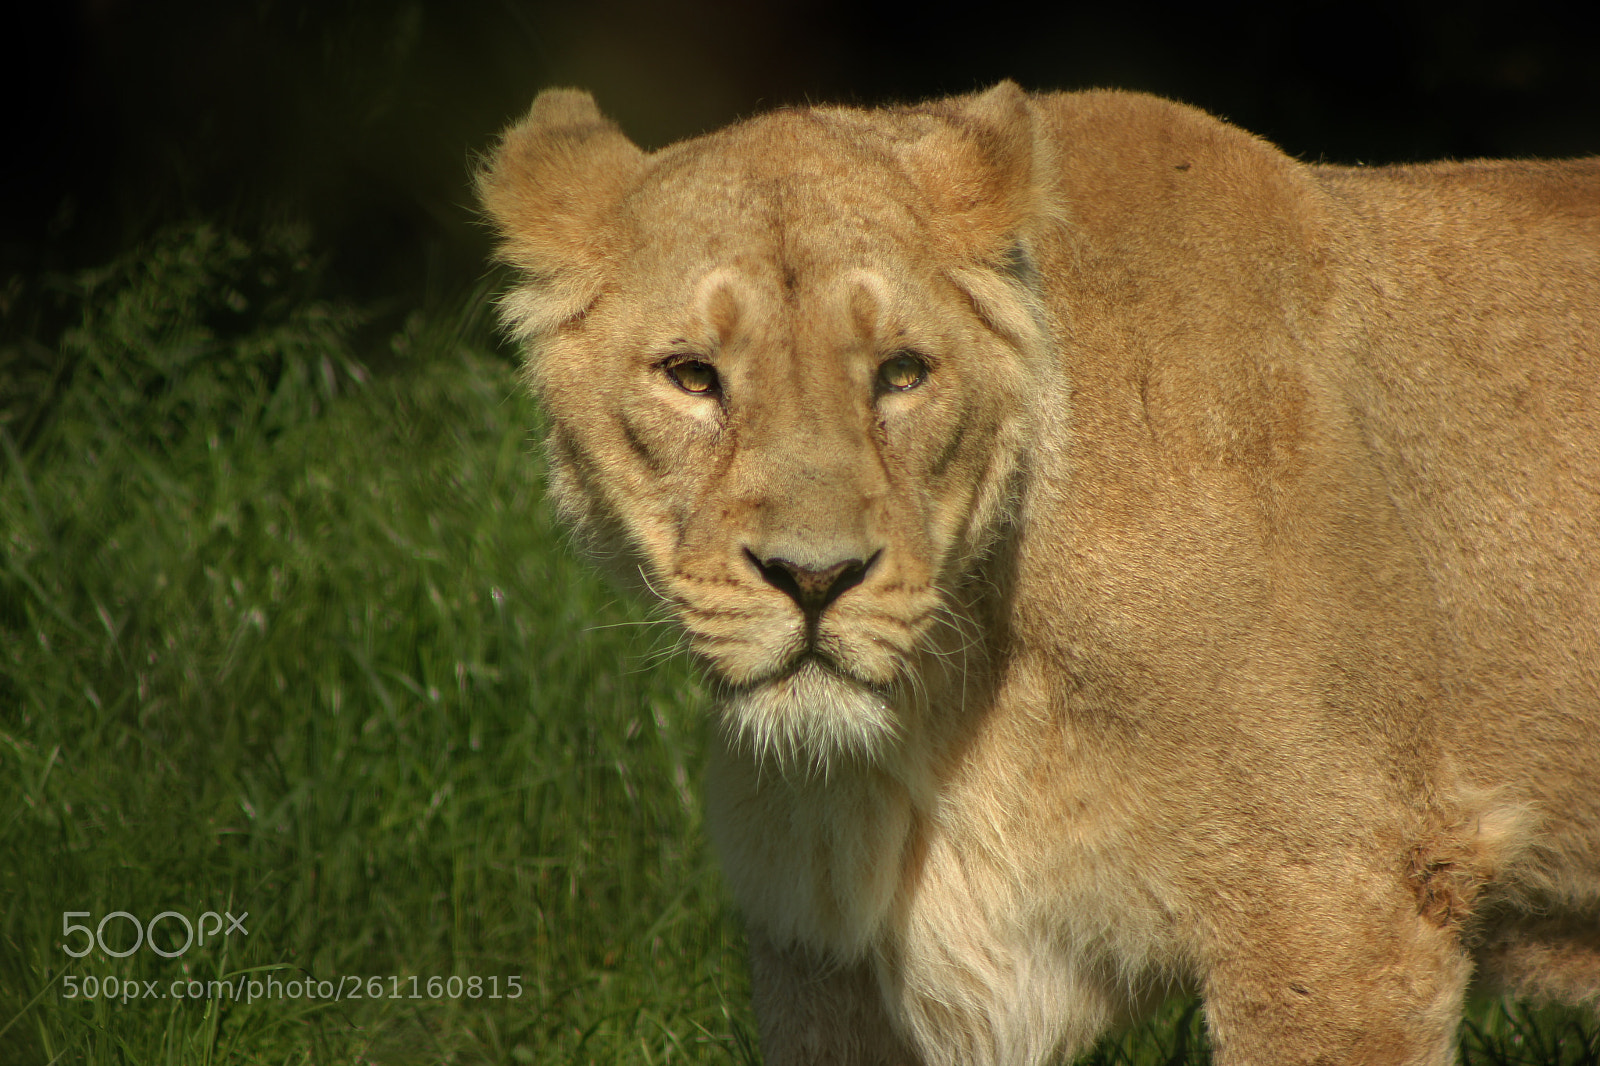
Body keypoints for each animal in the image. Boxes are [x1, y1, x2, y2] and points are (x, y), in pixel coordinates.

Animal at [476, 82, 1600, 1065]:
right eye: (692, 376)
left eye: (901, 373)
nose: (814, 578)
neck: (947, 704)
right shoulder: (829, 949)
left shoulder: (1339, 895)